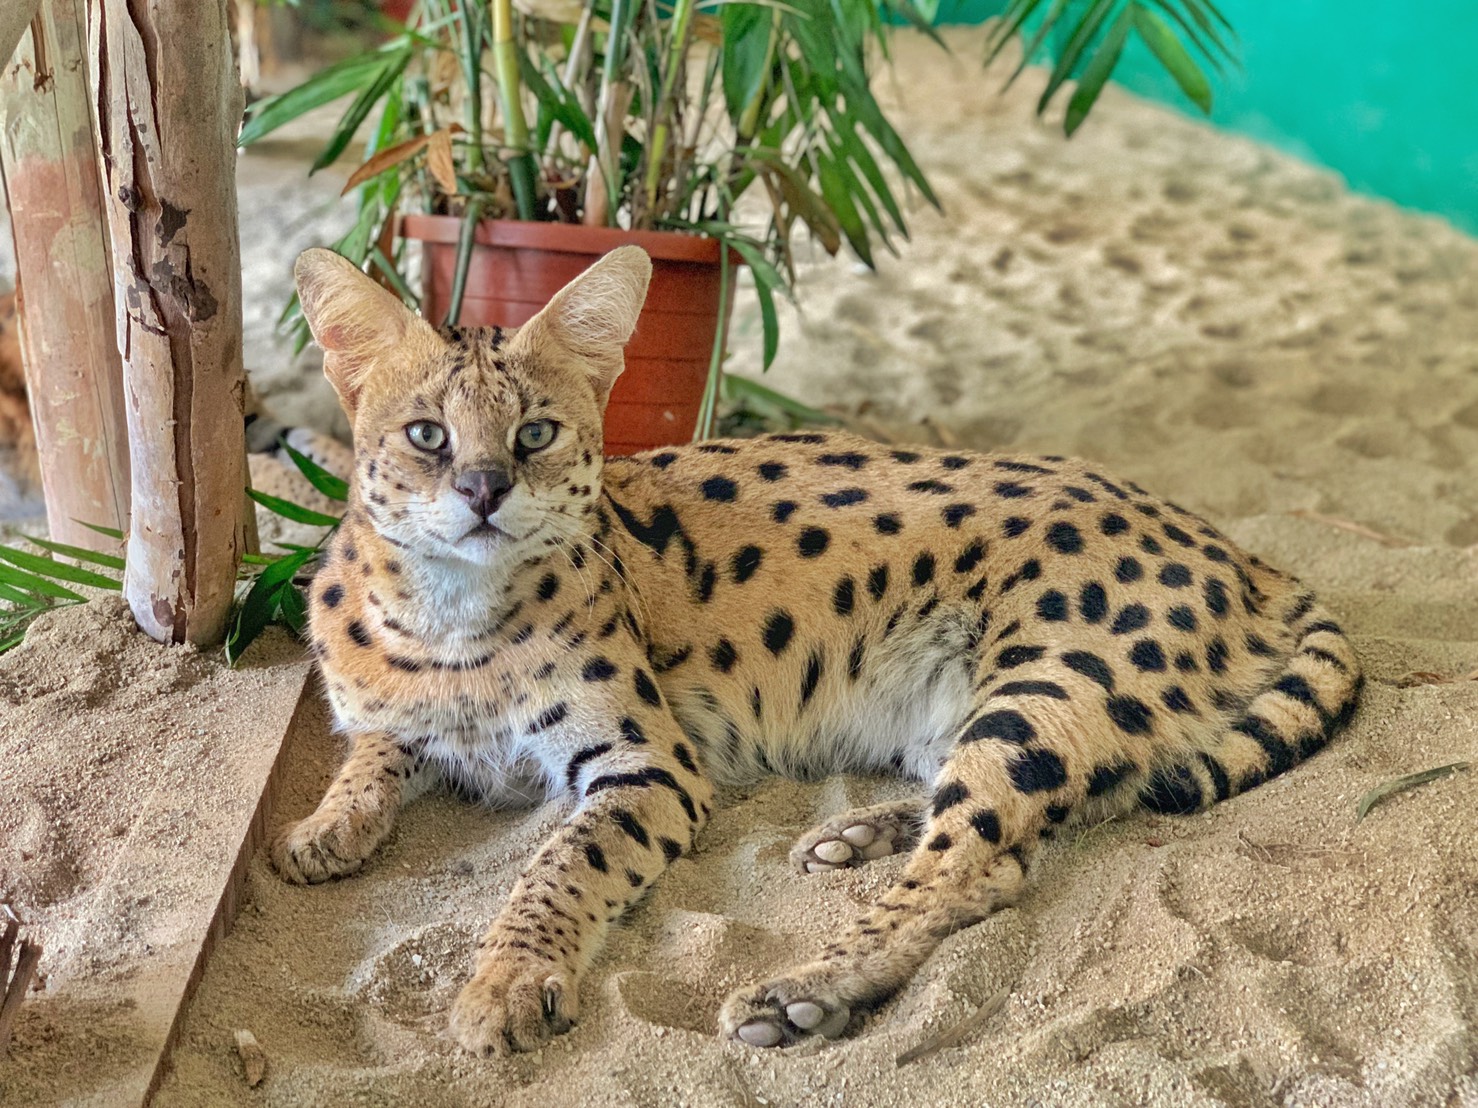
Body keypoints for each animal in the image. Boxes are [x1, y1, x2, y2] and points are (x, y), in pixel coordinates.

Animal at [271, 245, 1353, 1057]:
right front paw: (327, 825)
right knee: (1040, 814)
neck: (447, 624)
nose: (485, 489)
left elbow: (557, 865)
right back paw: (857, 834)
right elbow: (373, 751)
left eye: (535, 434)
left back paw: (804, 988)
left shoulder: (647, 764)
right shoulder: (396, 711)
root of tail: (1233, 547)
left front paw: (505, 979)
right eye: (426, 435)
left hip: (1052, 677)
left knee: (980, 861)